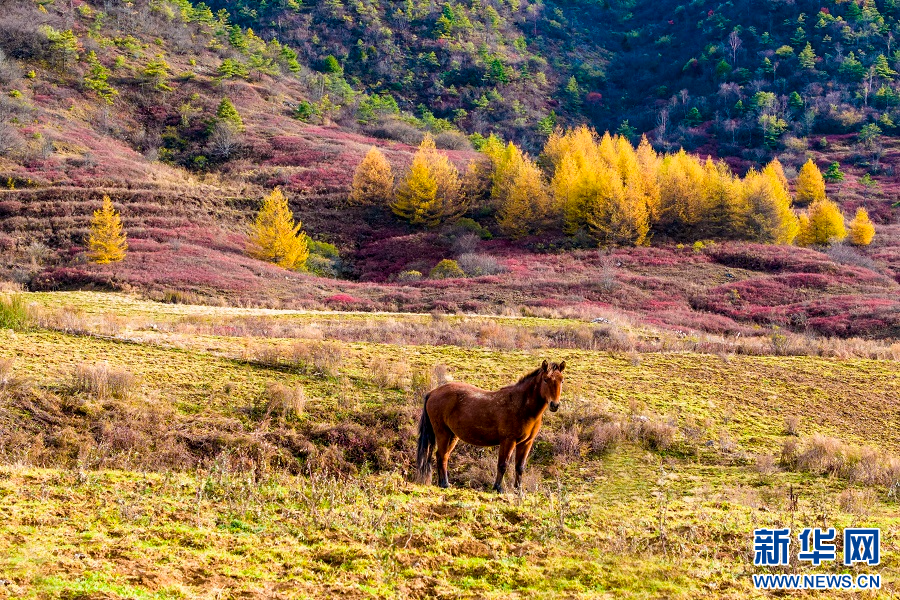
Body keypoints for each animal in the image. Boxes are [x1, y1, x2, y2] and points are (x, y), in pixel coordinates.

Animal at [414, 360, 564, 492]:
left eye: (561, 380)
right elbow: (503, 465)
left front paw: (518, 490)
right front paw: (498, 488)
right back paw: (445, 484)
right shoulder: (508, 441)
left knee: (443, 456)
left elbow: (519, 467)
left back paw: (443, 483)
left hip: (452, 436)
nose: (554, 405)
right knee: (441, 456)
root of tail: (433, 392)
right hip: (443, 433)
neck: (521, 405)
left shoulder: (526, 442)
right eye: (546, 379)